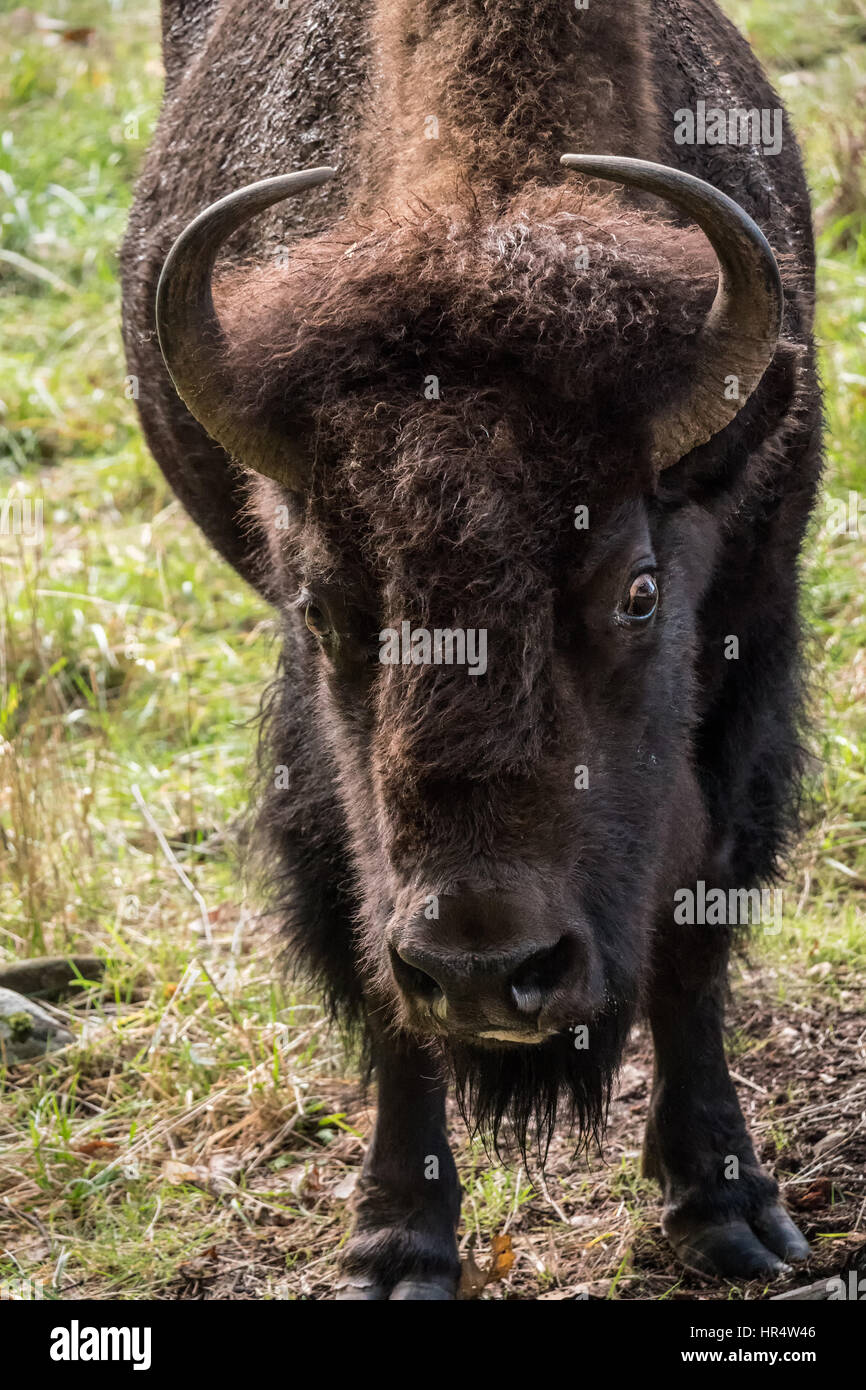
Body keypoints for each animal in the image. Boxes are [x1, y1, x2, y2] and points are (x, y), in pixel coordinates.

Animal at [122, 0, 817, 1289]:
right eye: (323, 604)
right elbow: (365, 948)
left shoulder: (748, 652)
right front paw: (397, 1242)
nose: (485, 972)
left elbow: (694, 928)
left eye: (637, 591)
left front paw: (727, 1209)